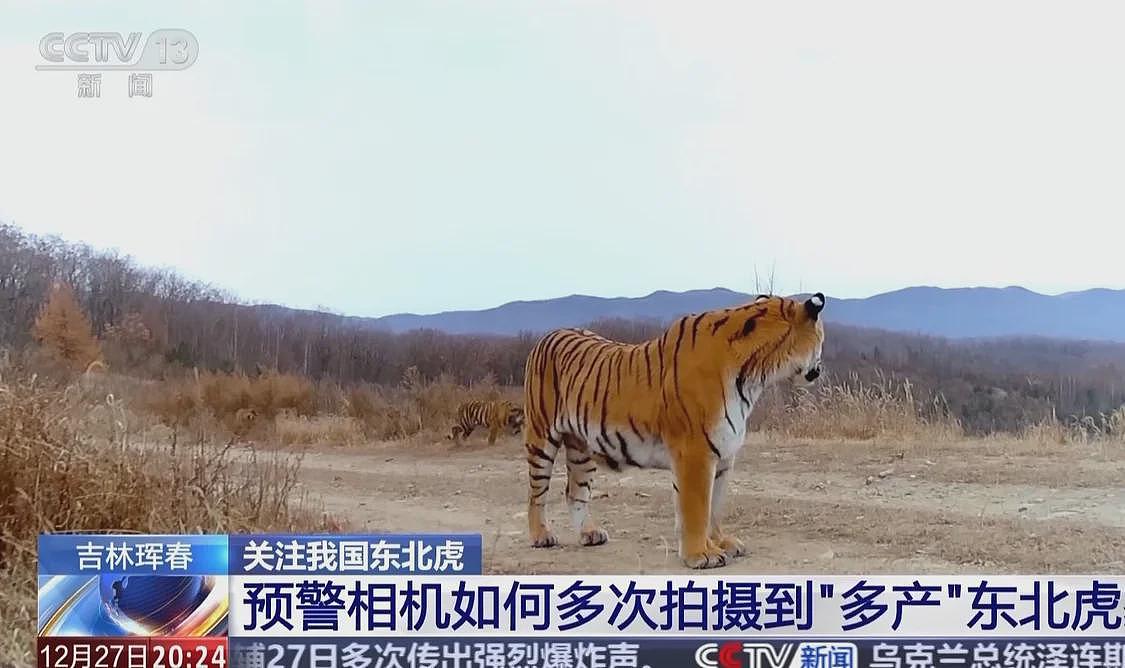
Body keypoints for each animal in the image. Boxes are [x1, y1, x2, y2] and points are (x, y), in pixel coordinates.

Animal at [522, 292, 826, 569]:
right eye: (821, 339)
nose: (820, 369)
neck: (754, 377)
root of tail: (549, 334)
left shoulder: (724, 456)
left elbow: (714, 507)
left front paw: (720, 543)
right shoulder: (695, 453)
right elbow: (697, 508)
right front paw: (701, 555)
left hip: (581, 447)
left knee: (574, 491)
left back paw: (589, 533)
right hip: (541, 438)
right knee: (537, 493)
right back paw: (541, 536)